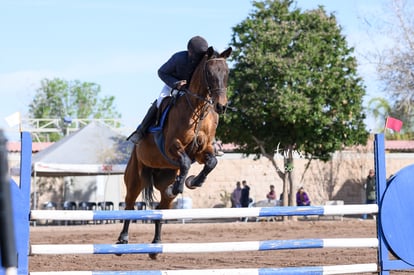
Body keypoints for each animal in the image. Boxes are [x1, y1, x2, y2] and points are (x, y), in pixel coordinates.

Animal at [118, 46, 231, 260]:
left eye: (227, 73)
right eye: (210, 74)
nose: (221, 106)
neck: (198, 110)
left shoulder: (203, 150)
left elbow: (211, 163)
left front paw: (193, 182)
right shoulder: (172, 146)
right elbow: (185, 162)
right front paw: (182, 185)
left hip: (164, 177)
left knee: (161, 208)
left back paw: (156, 246)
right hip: (135, 177)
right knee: (129, 205)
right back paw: (122, 241)